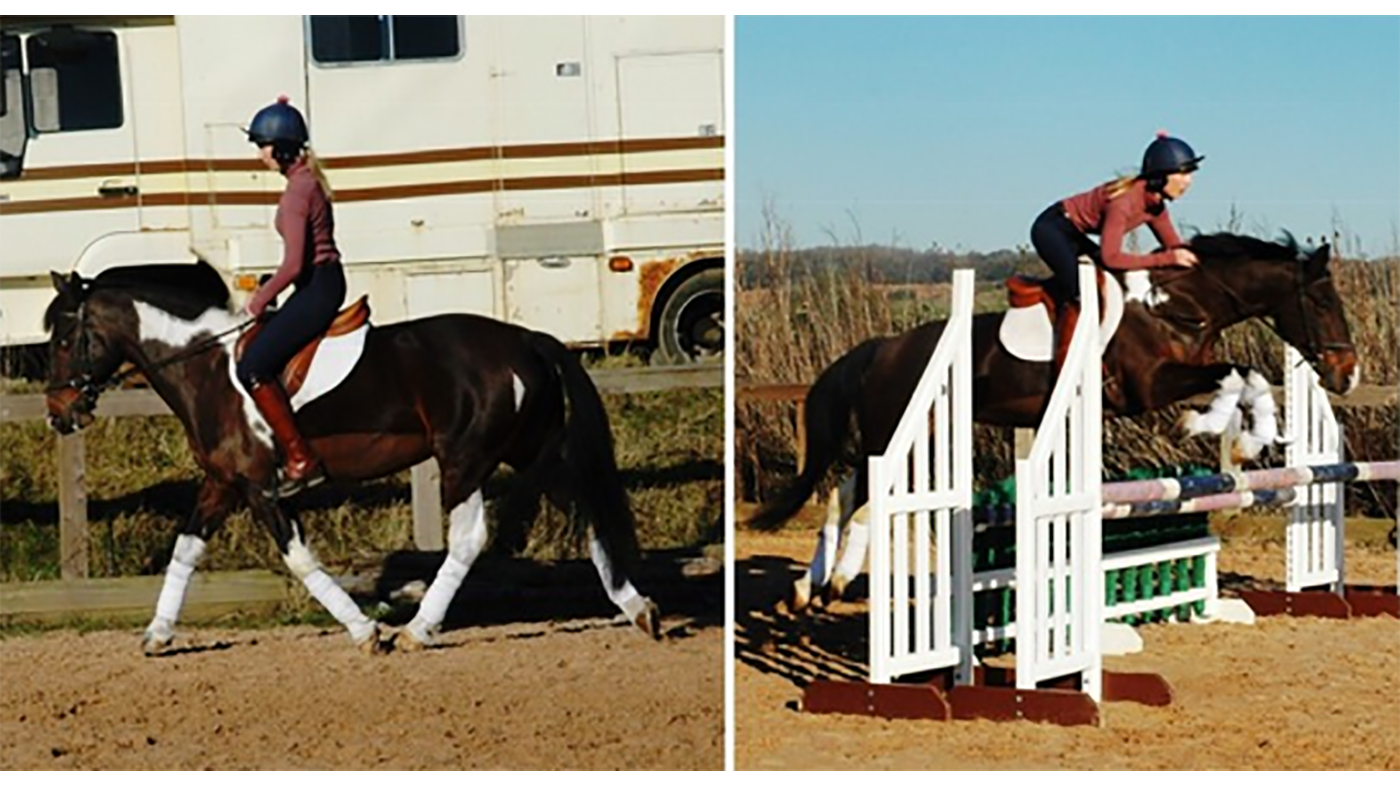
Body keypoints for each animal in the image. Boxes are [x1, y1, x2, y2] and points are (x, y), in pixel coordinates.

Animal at [43, 261, 661, 654]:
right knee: (587, 513)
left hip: (464, 460)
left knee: (469, 540)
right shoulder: (222, 483)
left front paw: (366, 633)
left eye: (65, 340)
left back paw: (418, 630)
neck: (207, 370)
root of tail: (526, 337)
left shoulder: (261, 488)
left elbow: (299, 561)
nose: (58, 413)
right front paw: (158, 633)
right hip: (531, 451)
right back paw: (638, 608)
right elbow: (185, 550)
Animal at [747, 232, 1359, 609]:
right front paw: (1218, 436)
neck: (1174, 306)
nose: (1347, 374)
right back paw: (834, 581)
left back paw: (807, 589)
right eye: (1323, 304)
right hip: (904, 432)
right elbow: (1235, 376)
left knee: (845, 492)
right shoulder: (1149, 385)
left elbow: (1245, 377)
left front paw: (1242, 447)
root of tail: (880, 348)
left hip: (915, 435)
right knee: (863, 497)